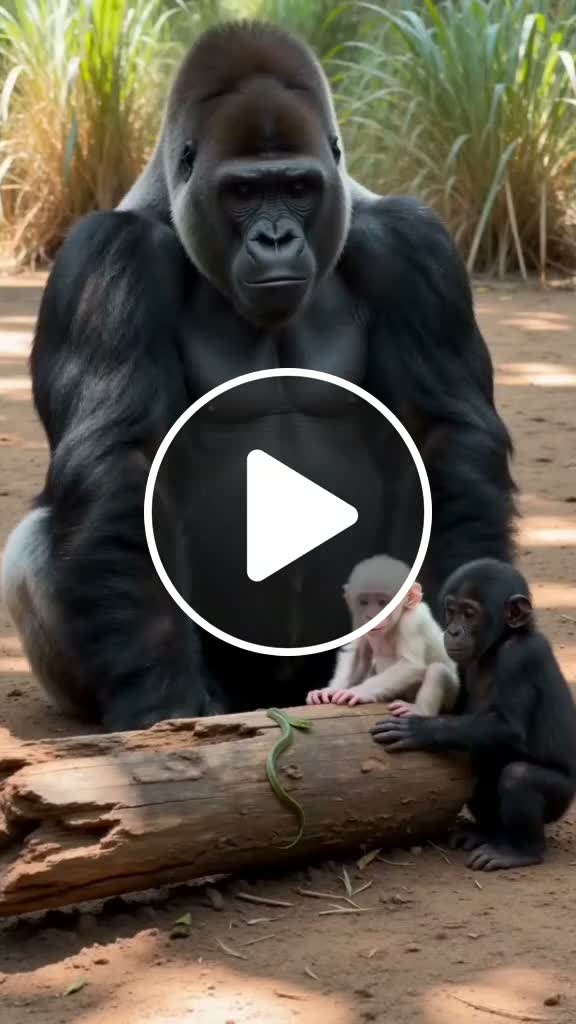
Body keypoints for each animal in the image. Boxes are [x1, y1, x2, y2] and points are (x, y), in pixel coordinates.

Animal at [306, 555, 459, 714]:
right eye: (364, 602)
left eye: (383, 602)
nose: (372, 615)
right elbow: (355, 653)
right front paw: (330, 690)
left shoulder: (413, 622)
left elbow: (410, 665)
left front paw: (358, 692)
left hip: (451, 697)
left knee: (438, 671)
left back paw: (419, 710)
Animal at [371, 558, 576, 871]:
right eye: (451, 611)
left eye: (469, 614)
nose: (454, 631)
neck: (497, 645)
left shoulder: (520, 659)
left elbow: (509, 727)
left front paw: (418, 727)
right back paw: (486, 833)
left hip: (562, 798)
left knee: (518, 777)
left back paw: (520, 851)